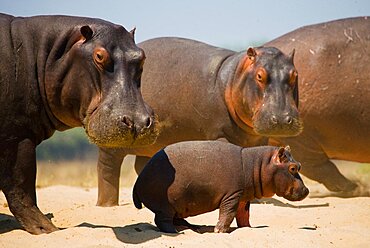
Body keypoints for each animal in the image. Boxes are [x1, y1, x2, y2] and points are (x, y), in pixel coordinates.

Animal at [0, 13, 158, 234]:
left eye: (142, 56)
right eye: (99, 56)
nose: (137, 122)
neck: (43, 54)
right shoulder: (16, 136)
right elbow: (21, 184)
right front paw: (48, 230)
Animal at [96, 37, 300, 207]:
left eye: (295, 75)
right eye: (259, 76)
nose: (282, 119)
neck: (233, 78)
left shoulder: (260, 139)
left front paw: (258, 198)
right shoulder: (218, 136)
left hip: (152, 145)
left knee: (143, 165)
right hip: (112, 139)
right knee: (107, 168)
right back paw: (107, 205)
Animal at [133, 140, 310, 233]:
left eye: (300, 165)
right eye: (293, 168)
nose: (307, 190)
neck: (257, 165)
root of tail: (138, 181)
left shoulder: (243, 198)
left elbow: (243, 216)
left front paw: (248, 228)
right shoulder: (232, 195)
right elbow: (228, 213)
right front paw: (219, 231)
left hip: (178, 206)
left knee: (175, 218)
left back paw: (191, 227)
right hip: (165, 205)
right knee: (162, 220)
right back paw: (176, 231)